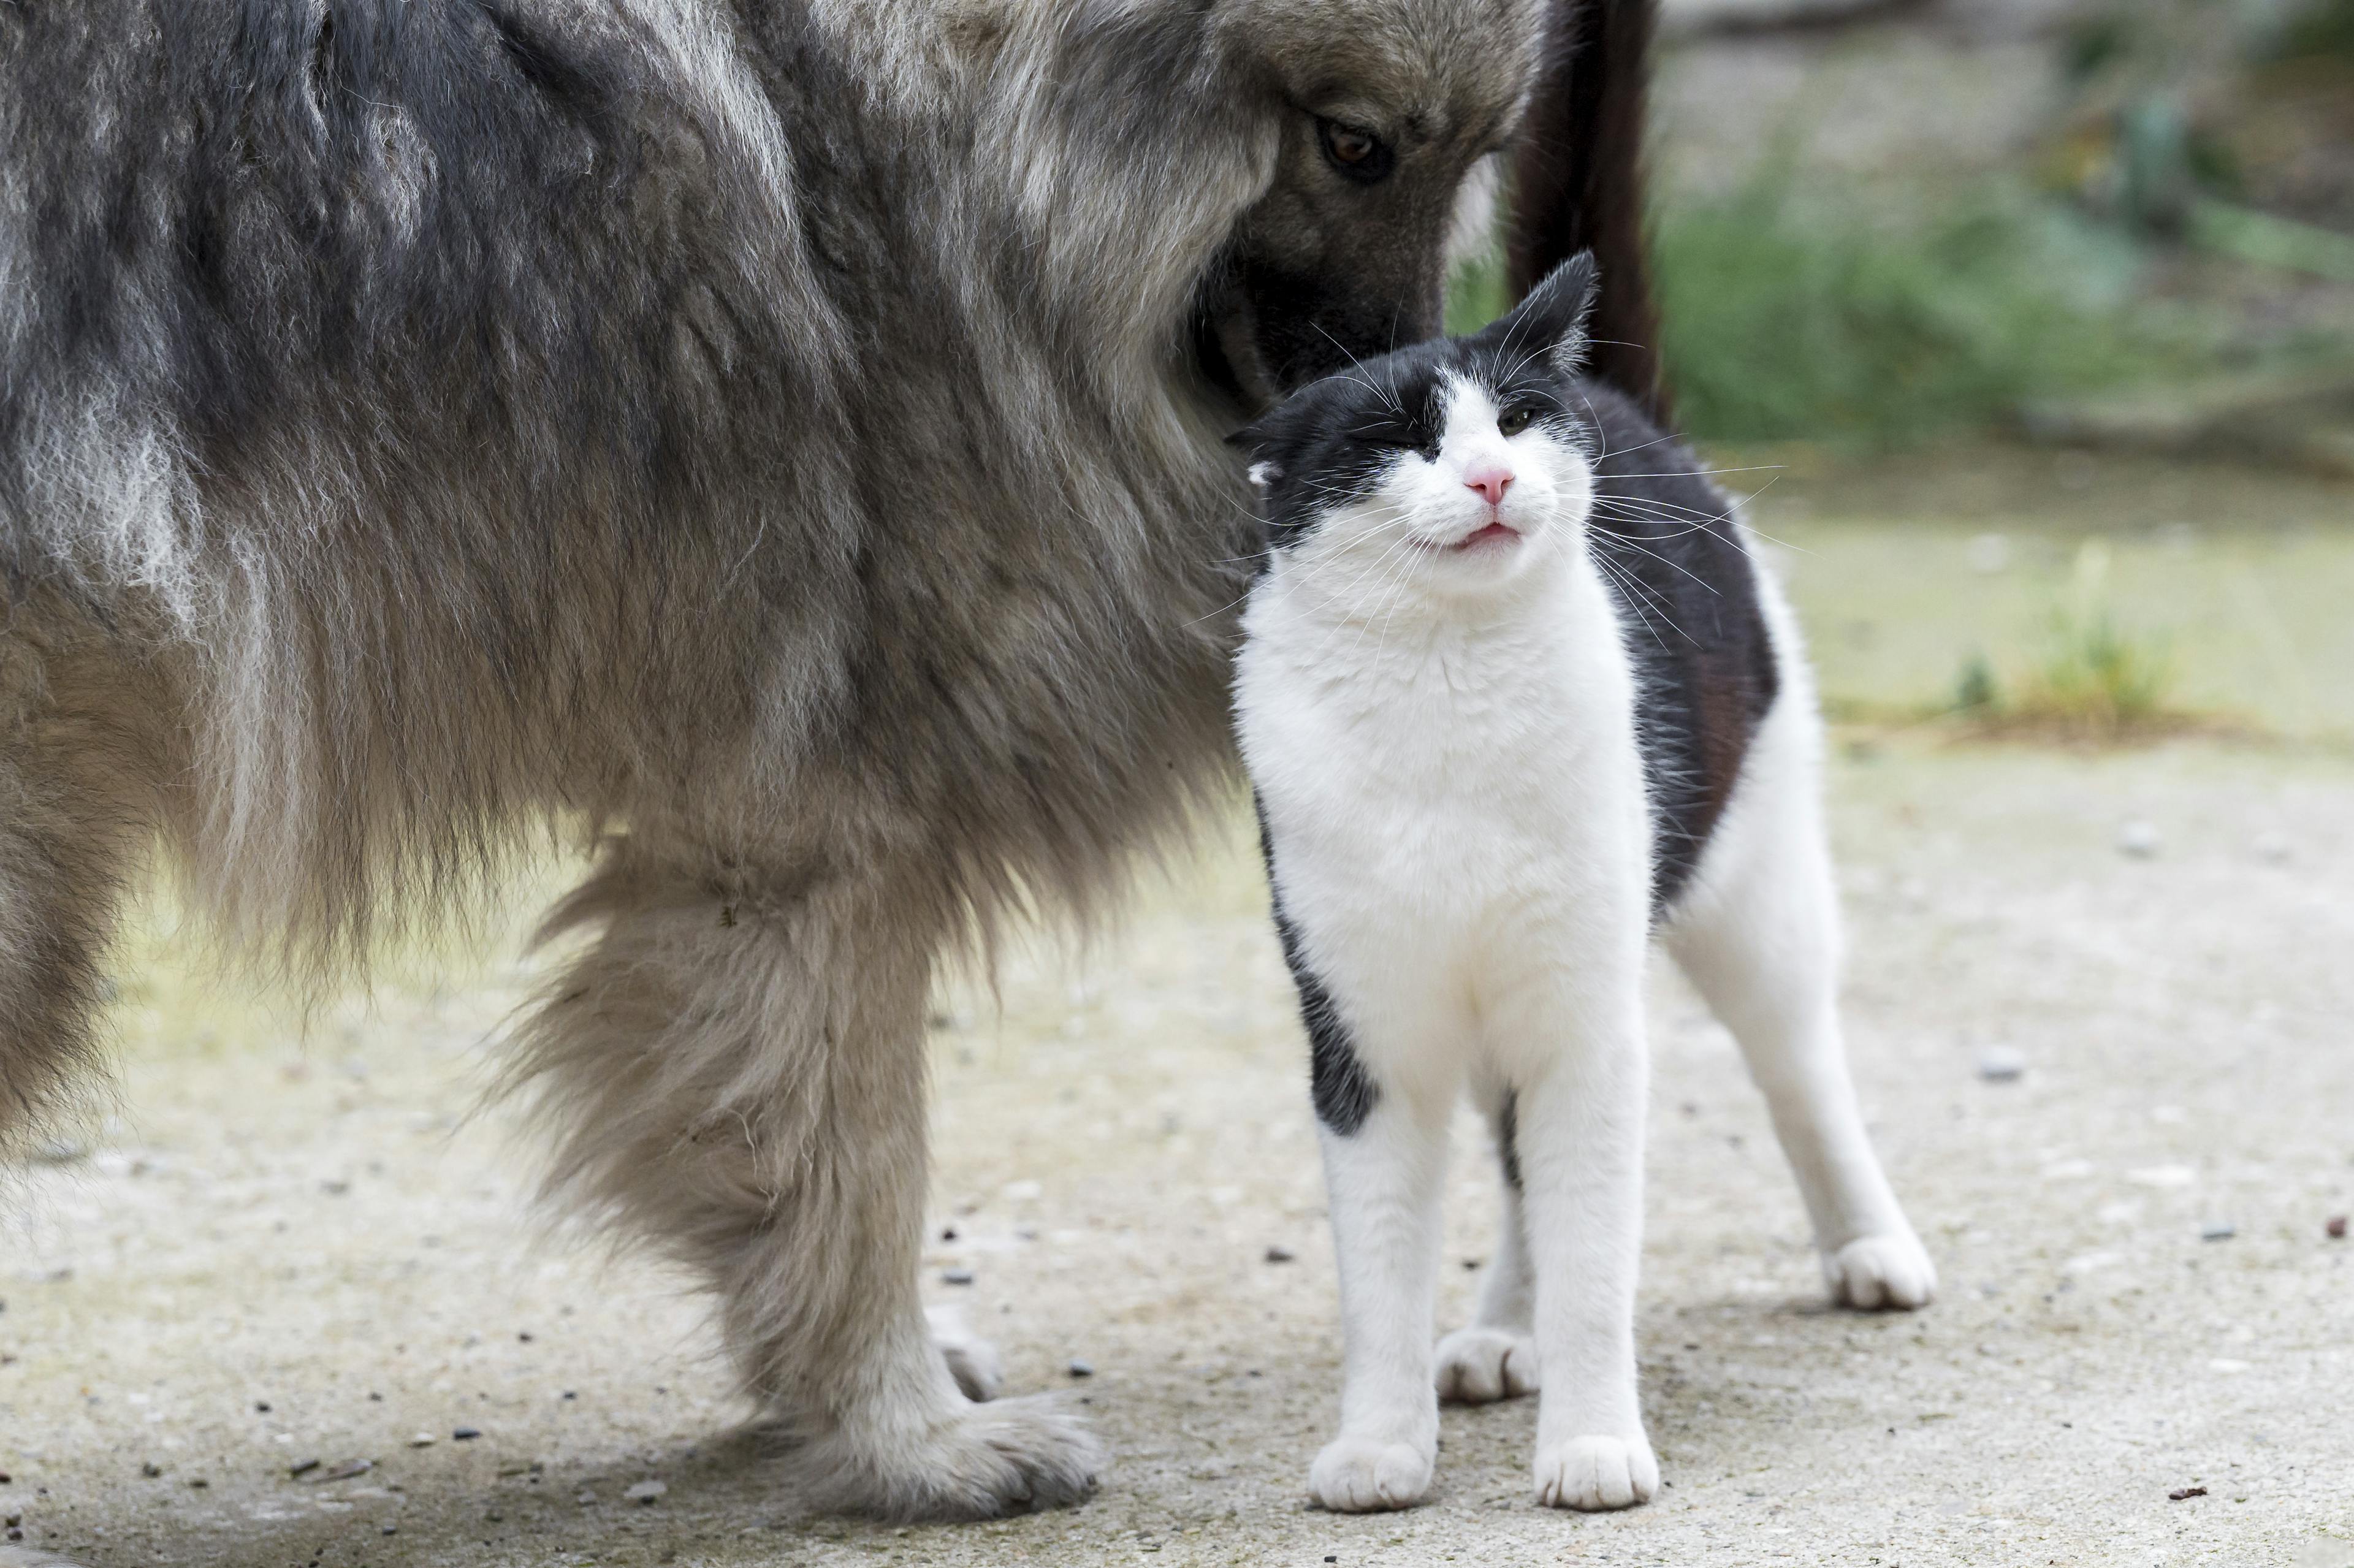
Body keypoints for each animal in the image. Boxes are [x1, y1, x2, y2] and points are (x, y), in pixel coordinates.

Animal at [0, 0, 1657, 1525]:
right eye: (1355, 142)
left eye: (1475, 154)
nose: (1432, 400)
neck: (899, 126)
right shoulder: (816, 818)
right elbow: (856, 1154)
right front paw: (910, 1438)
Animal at [1233, 256, 1930, 1516]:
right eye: (1399, 439)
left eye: (1512, 421)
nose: (1494, 475)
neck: (1448, 688)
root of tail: (1615, 396)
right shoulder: (1365, 1042)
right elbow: (1381, 1275)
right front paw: (1379, 1447)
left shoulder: (1589, 1025)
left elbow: (1595, 1261)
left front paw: (1595, 1441)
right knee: (1521, 1163)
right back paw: (1503, 1328)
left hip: (1757, 900)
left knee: (1801, 1067)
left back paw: (1871, 1245)